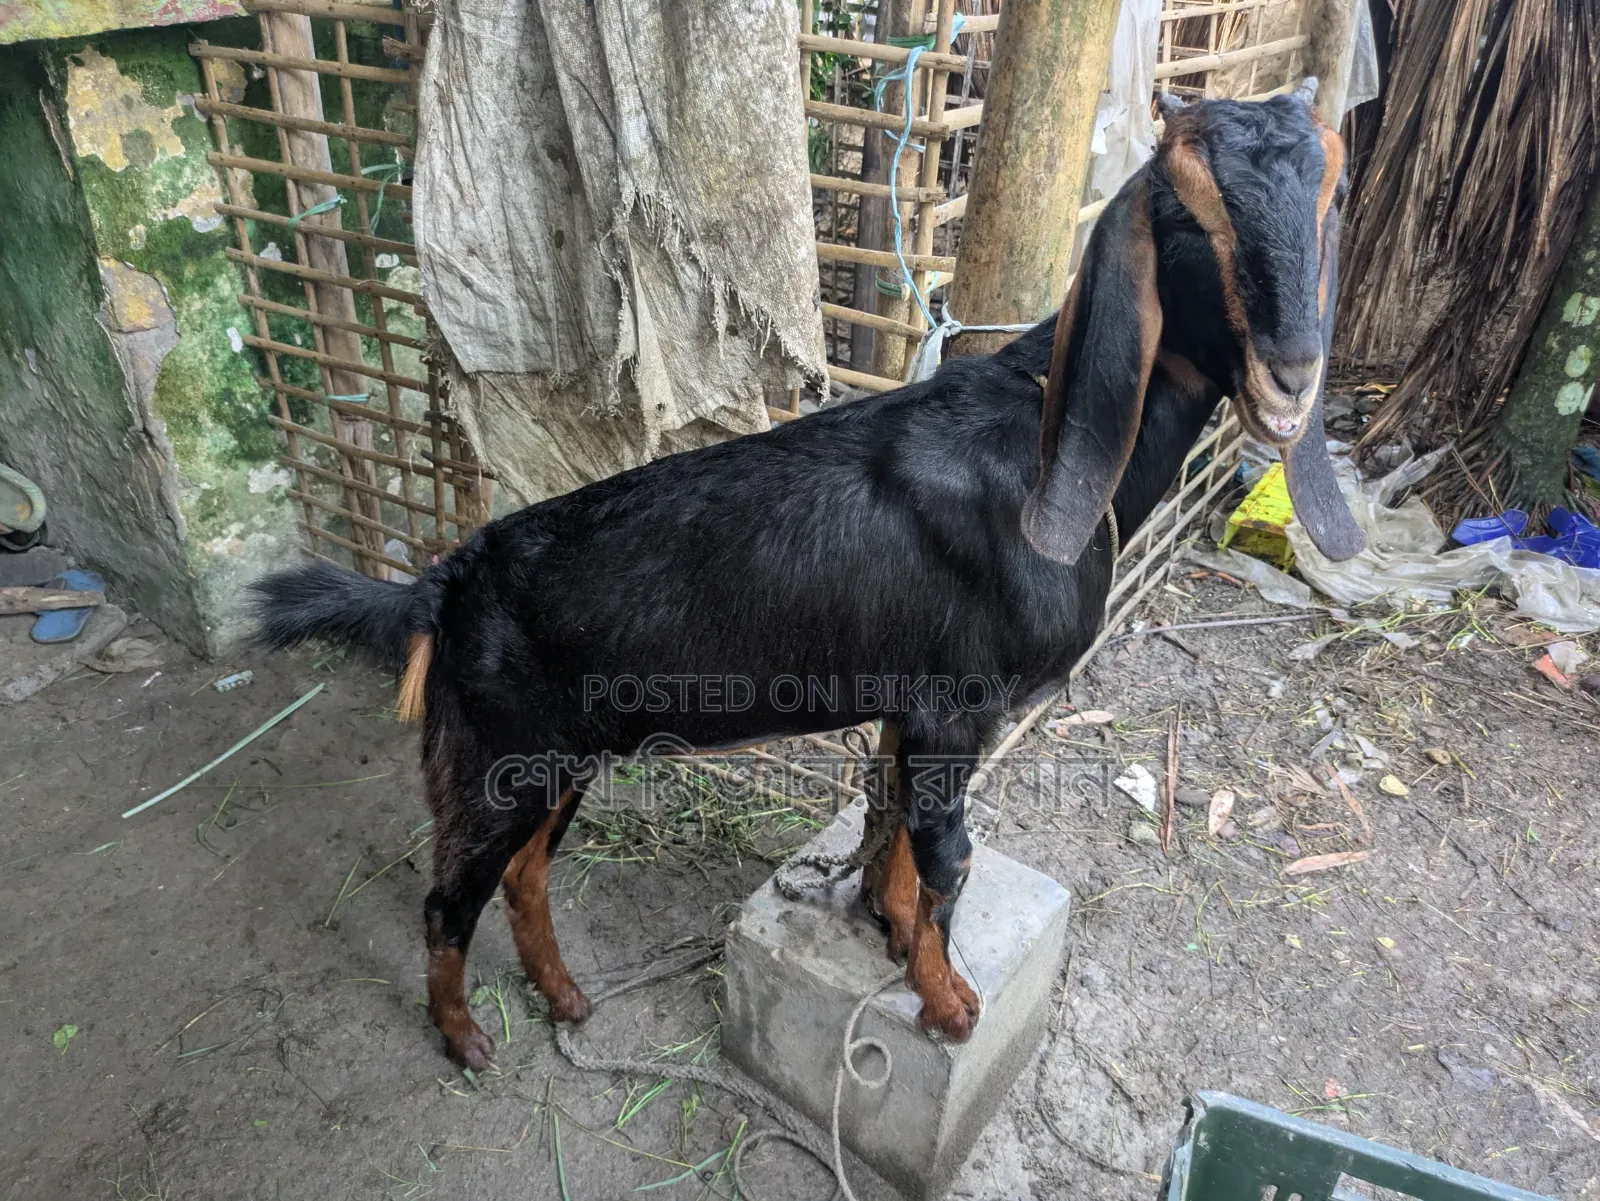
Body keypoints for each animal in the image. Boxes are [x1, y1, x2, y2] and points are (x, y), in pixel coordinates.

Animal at [253, 87, 1361, 1070]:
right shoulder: (957, 704)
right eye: (1189, 211)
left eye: (1327, 194)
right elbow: (947, 852)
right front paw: (947, 1004)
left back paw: (563, 997)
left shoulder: (915, 705)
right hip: (494, 753)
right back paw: (463, 1037)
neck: (1040, 449)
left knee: (525, 876)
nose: (1291, 373)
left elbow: (905, 838)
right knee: (449, 898)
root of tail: (441, 586)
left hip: (559, 753)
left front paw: (890, 927)